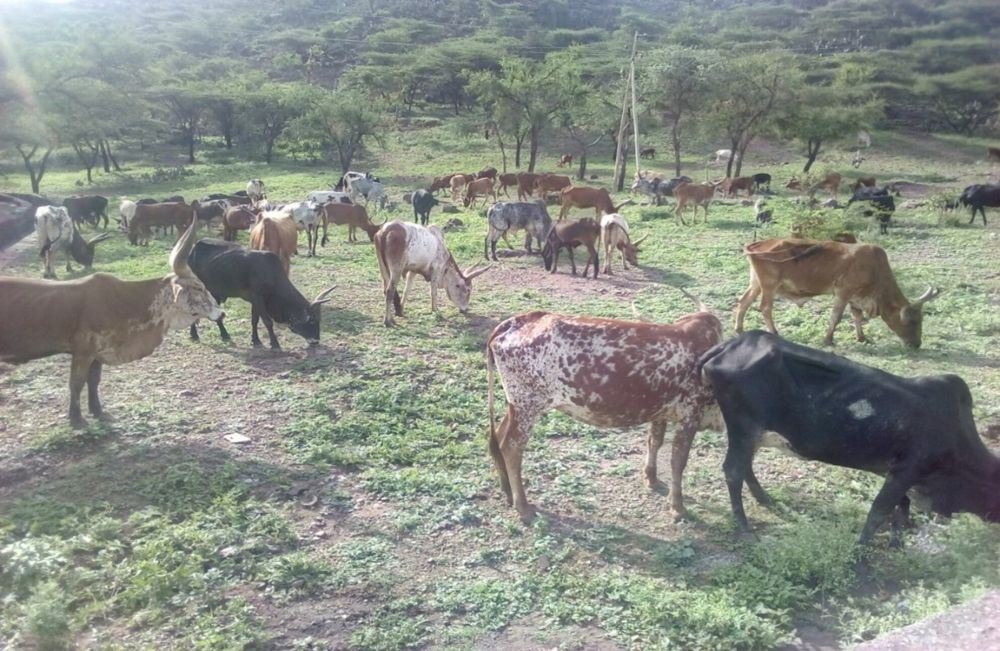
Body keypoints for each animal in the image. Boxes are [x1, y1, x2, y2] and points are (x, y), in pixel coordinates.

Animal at [189, 239, 338, 348]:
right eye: (312, 321)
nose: (316, 341)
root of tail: (194, 248)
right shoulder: (258, 298)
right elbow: (267, 322)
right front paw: (275, 343)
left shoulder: (254, 301)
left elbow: (254, 320)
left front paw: (255, 340)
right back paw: (196, 335)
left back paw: (224, 335)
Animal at [486, 308, 728, 524]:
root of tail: (517, 321)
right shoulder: (690, 413)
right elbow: (678, 461)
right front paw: (677, 507)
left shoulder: (661, 410)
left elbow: (655, 442)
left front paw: (651, 477)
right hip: (528, 406)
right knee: (511, 447)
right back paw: (523, 507)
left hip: (516, 405)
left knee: (499, 438)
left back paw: (507, 491)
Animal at [696, 332, 1000, 544]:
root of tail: (730, 344)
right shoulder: (909, 468)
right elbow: (880, 510)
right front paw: (861, 549)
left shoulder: (896, 472)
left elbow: (901, 506)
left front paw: (898, 539)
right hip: (743, 427)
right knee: (733, 470)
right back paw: (746, 529)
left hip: (751, 434)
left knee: (745, 466)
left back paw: (766, 500)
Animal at [736, 239, 944, 348]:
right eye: (912, 321)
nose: (916, 344)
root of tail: (756, 245)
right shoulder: (843, 292)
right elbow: (836, 317)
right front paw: (828, 339)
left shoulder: (854, 297)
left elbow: (857, 316)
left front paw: (862, 338)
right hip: (769, 286)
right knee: (765, 307)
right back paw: (775, 333)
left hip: (756, 284)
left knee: (743, 302)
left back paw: (739, 329)